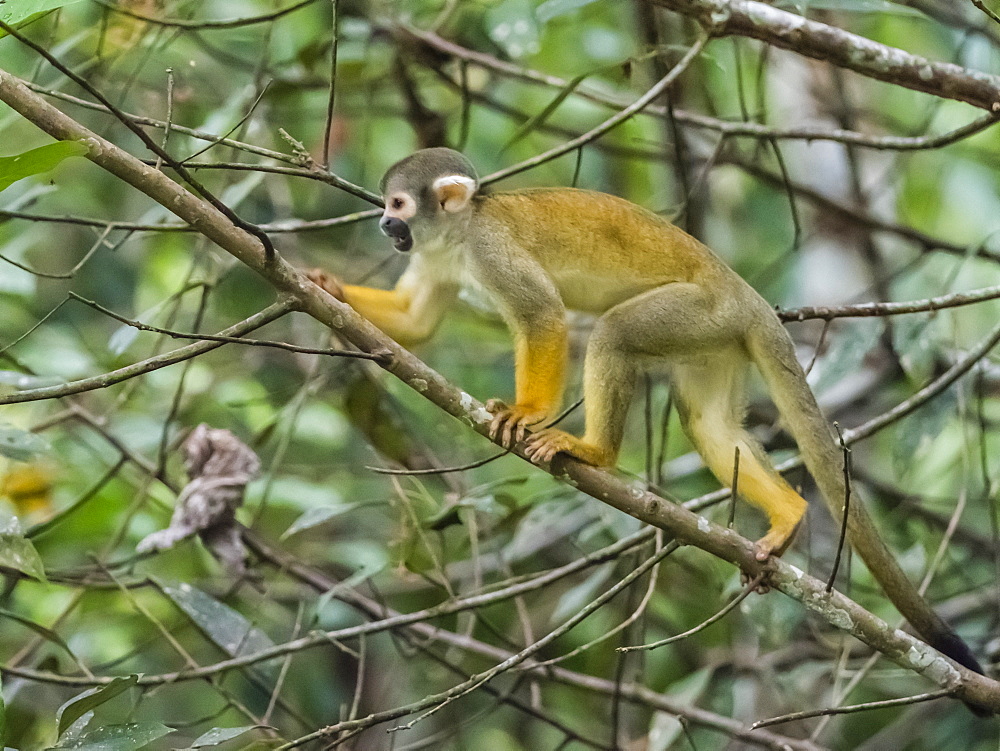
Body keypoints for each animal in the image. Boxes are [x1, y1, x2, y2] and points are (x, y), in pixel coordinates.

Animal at [308, 148, 980, 676]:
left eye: (398, 202)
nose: (384, 222)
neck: (458, 232)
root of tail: (745, 296)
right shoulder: (436, 255)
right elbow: (418, 321)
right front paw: (324, 287)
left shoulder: (489, 249)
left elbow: (543, 317)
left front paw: (529, 414)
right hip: (714, 338)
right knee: (706, 423)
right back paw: (788, 515)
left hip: (697, 310)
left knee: (612, 334)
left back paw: (593, 450)